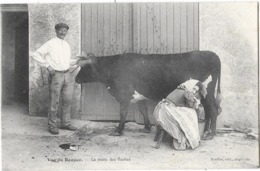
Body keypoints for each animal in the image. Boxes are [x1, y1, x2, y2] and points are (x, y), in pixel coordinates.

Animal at [74, 50, 221, 140]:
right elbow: (143, 110)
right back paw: (206, 131)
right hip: (204, 93)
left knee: (213, 110)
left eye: (84, 67)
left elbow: (123, 113)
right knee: (208, 111)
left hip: (207, 91)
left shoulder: (124, 95)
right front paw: (147, 127)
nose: (75, 79)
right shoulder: (139, 97)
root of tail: (211, 54)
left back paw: (211, 134)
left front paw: (118, 130)